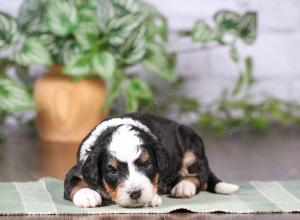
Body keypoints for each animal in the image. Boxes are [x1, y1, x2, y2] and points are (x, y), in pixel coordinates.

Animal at [63, 113, 239, 208]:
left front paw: (151, 198)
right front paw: (87, 195)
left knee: (200, 177)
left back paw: (183, 187)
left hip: (191, 145)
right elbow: (74, 182)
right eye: (111, 171)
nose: (135, 193)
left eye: (146, 164)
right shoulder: (79, 169)